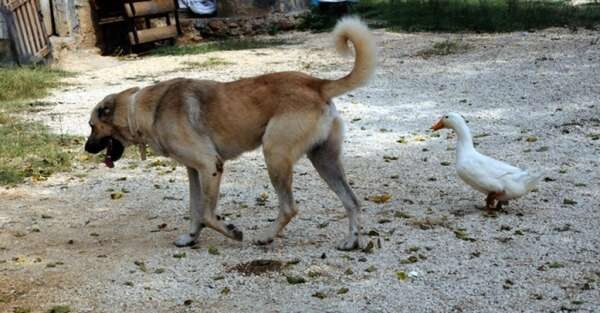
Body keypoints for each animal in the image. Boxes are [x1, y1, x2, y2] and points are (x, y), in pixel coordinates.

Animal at [84, 17, 376, 249]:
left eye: (91, 126)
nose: (86, 149)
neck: (144, 109)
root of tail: (317, 84)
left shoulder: (210, 165)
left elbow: (206, 214)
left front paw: (232, 232)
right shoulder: (194, 171)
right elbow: (195, 210)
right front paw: (191, 238)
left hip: (274, 155)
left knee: (289, 207)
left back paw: (265, 237)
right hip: (324, 160)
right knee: (352, 201)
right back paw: (351, 241)